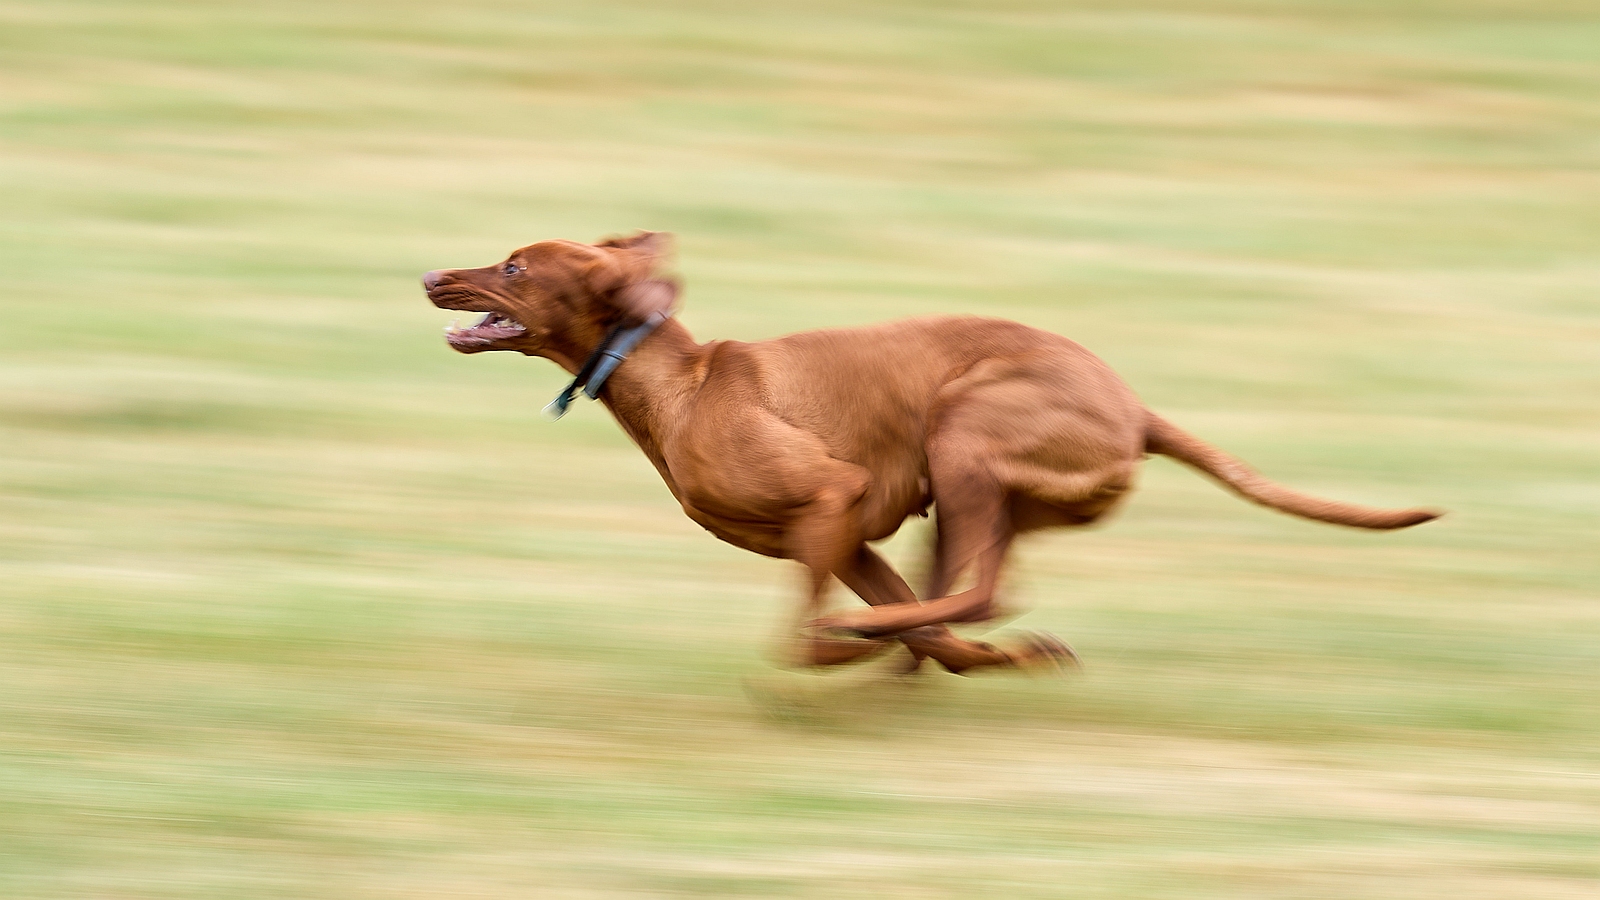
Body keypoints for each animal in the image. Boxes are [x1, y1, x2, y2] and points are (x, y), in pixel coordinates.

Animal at [422, 230, 1440, 672]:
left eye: (514, 266)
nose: (431, 273)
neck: (680, 379)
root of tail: (1135, 409)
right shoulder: (848, 539)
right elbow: (921, 625)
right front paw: (967, 656)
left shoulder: (831, 501)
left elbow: (807, 642)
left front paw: (841, 647)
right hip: (969, 498)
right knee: (976, 593)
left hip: (964, 434)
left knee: (980, 589)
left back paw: (881, 642)